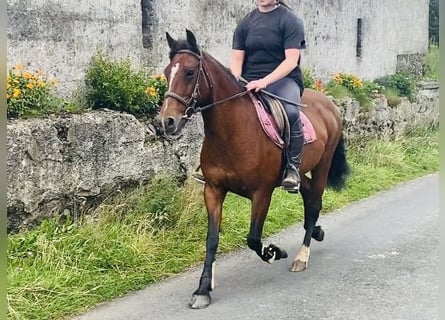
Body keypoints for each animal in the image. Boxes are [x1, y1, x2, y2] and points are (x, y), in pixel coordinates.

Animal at [158, 30, 348, 310]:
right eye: (166, 72)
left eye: (190, 72)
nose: (167, 122)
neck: (232, 131)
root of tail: (328, 103)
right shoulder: (213, 190)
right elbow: (211, 239)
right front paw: (203, 289)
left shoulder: (262, 193)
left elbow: (253, 238)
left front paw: (274, 252)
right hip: (298, 172)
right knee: (307, 194)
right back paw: (316, 231)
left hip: (322, 165)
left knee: (314, 203)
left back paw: (301, 256)